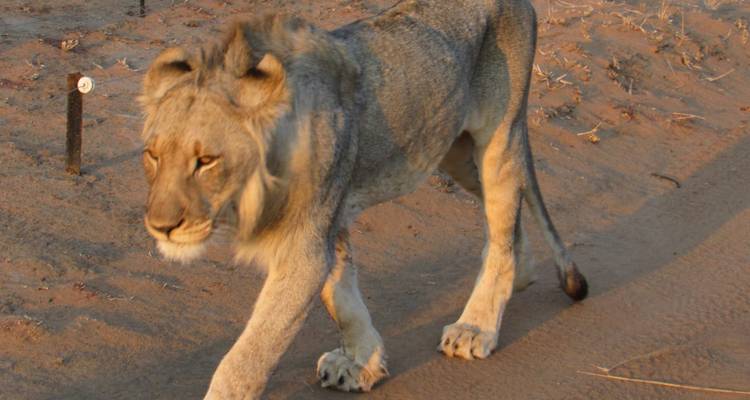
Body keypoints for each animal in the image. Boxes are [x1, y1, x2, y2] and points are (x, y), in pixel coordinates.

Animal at [139, 0, 588, 398]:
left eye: (206, 161)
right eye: (153, 155)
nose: (162, 227)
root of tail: (522, 2)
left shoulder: (306, 243)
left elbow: (248, 355)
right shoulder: (330, 219)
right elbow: (339, 294)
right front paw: (361, 363)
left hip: (498, 136)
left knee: (503, 212)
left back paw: (476, 326)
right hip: (454, 152)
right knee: (508, 214)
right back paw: (522, 272)